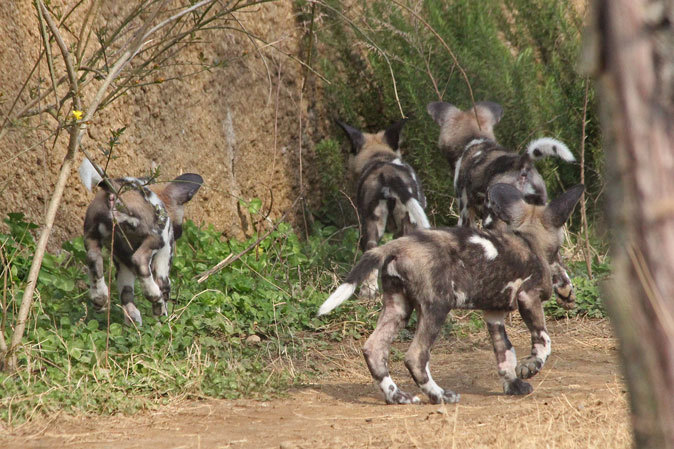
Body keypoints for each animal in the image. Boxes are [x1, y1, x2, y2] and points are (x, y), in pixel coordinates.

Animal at [79, 158, 202, 326]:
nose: (180, 233)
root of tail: (117, 188)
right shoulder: (164, 257)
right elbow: (164, 290)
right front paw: (161, 319)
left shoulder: (123, 265)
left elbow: (126, 295)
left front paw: (132, 320)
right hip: (155, 239)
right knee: (141, 262)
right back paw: (155, 297)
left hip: (92, 238)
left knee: (93, 260)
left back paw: (100, 297)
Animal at [318, 182, 580, 402]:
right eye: (559, 252)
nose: (567, 288)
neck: (529, 242)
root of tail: (398, 244)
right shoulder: (529, 297)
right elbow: (544, 340)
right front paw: (531, 366)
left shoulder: (493, 315)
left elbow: (505, 353)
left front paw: (513, 385)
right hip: (437, 308)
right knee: (415, 357)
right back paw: (440, 395)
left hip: (399, 308)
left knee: (375, 350)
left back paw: (398, 396)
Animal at [336, 118, 430, 298]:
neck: (378, 155)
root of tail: (388, 173)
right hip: (401, 224)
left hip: (373, 224)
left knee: (372, 252)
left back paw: (368, 292)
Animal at [428, 100, 576, 308]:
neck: (474, 140)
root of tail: (521, 162)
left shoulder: (465, 212)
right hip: (543, 216)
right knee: (556, 262)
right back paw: (564, 293)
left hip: (495, 220)